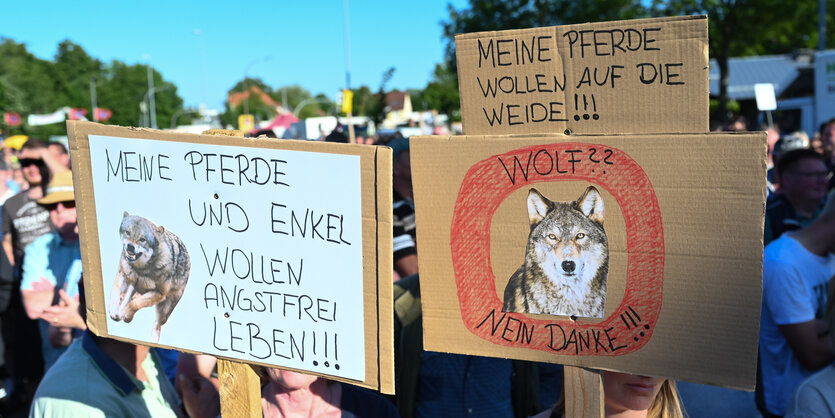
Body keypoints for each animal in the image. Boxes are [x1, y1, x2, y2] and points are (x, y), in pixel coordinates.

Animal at [108, 212, 190, 342]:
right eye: (127, 232)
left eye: (142, 240)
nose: (130, 247)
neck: (141, 269)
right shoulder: (123, 275)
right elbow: (115, 291)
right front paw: (114, 311)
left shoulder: (159, 294)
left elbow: (135, 304)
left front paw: (126, 315)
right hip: (133, 288)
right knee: (127, 299)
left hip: (164, 313)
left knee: (157, 324)